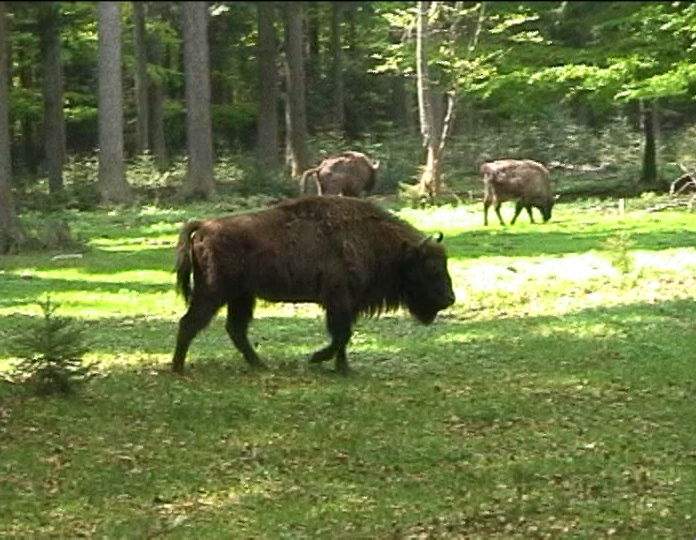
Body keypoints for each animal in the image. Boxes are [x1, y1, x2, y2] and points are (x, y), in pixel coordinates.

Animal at [173, 195, 456, 376]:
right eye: (431, 268)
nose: (450, 299)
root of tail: (204, 227)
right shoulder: (338, 301)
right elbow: (341, 335)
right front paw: (317, 358)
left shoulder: (348, 305)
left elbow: (344, 337)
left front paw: (344, 368)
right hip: (213, 293)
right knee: (190, 323)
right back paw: (177, 368)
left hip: (242, 296)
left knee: (235, 329)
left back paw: (260, 365)